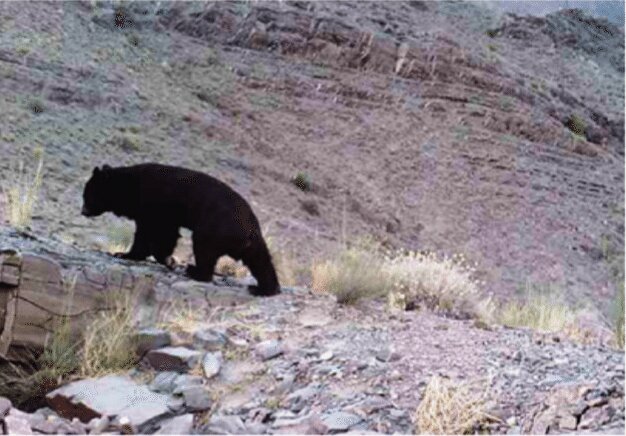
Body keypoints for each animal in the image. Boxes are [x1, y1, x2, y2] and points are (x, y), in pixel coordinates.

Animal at [80, 164, 280, 296]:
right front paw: (167, 259)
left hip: (213, 227)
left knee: (204, 249)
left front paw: (126, 254)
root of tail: (248, 231)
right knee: (261, 261)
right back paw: (265, 288)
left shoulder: (153, 203)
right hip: (253, 243)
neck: (130, 187)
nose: (83, 211)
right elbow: (166, 234)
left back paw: (195, 271)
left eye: (87, 195)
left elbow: (151, 232)